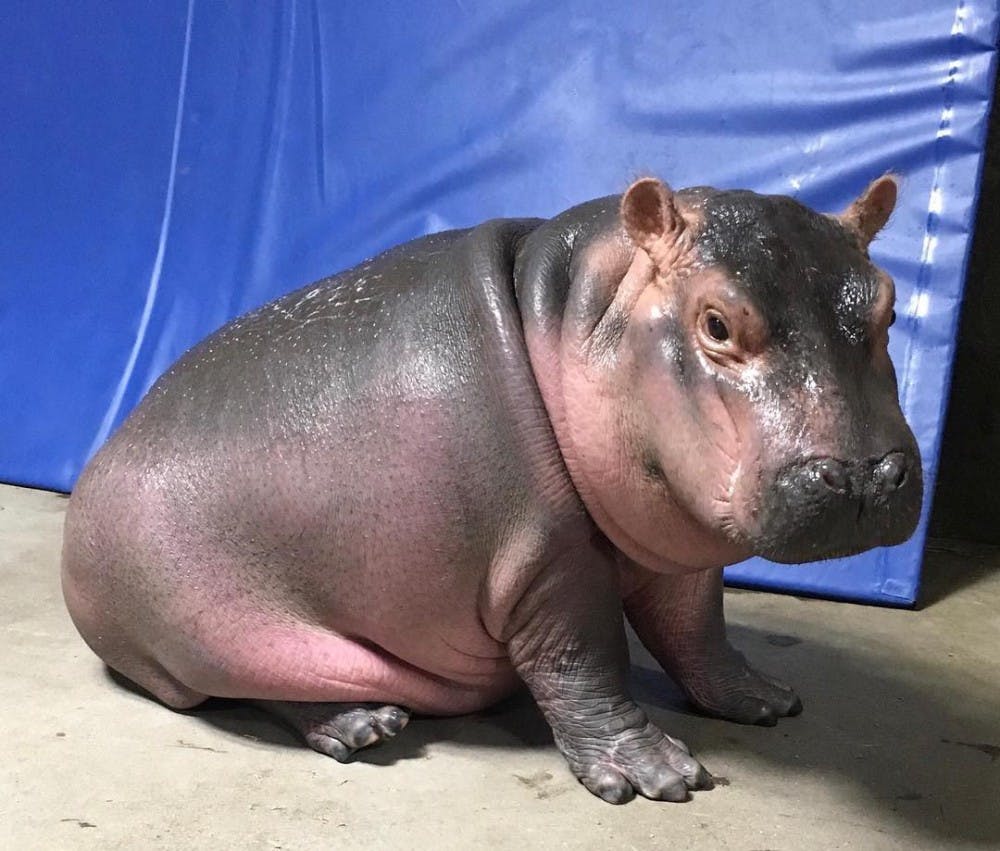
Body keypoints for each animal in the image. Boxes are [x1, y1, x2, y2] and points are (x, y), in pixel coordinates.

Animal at [62, 175, 922, 804]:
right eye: (715, 321)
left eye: (887, 305)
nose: (863, 476)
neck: (579, 310)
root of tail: (96, 468)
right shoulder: (548, 561)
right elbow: (584, 658)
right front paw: (656, 776)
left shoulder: (675, 548)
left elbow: (696, 629)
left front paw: (763, 697)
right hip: (208, 632)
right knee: (254, 685)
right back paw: (362, 724)